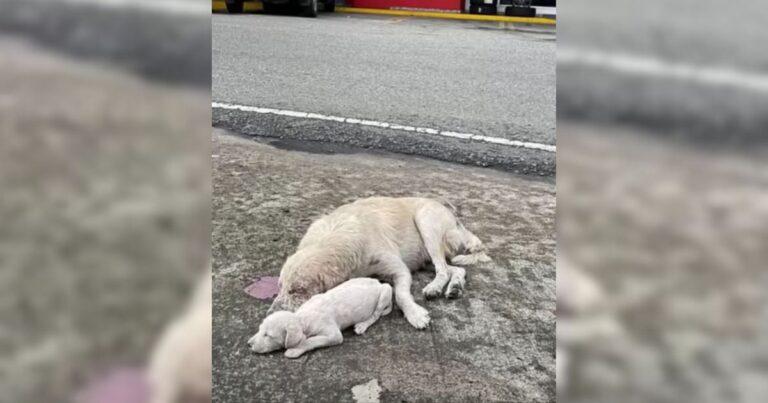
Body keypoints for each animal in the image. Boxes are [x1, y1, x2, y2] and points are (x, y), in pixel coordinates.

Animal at [249, 278, 392, 360]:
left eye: (268, 335)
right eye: (260, 330)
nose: (249, 344)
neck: (302, 318)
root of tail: (379, 283)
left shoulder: (334, 335)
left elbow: (311, 340)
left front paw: (295, 349)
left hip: (386, 291)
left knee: (376, 315)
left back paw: (362, 325)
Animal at [268, 197, 488, 330]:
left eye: (297, 290)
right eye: (280, 287)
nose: (270, 314)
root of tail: (459, 223)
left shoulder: (400, 270)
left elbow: (400, 296)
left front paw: (416, 315)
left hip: (426, 221)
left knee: (443, 269)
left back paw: (434, 288)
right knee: (456, 269)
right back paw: (454, 288)